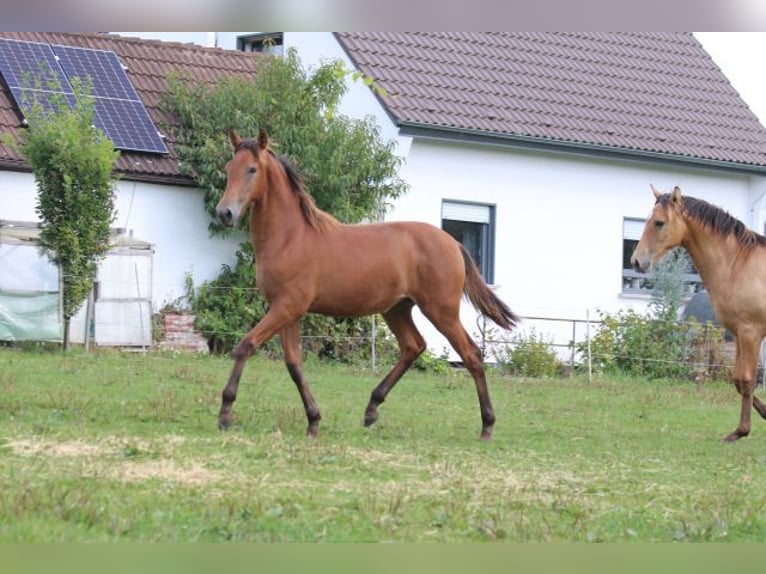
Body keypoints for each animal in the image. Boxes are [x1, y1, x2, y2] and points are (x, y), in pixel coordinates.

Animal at [213, 128, 520, 438]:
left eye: (252, 169)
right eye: (229, 168)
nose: (224, 213)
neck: (291, 237)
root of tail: (453, 243)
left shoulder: (287, 307)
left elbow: (245, 345)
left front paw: (225, 414)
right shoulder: (287, 311)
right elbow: (294, 365)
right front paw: (313, 420)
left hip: (441, 312)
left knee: (471, 355)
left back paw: (487, 426)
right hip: (396, 309)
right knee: (414, 346)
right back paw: (372, 409)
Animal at [632, 187, 766, 444]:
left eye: (659, 222)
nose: (636, 261)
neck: (739, 264)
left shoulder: (751, 333)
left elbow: (747, 381)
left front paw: (740, 431)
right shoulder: (739, 334)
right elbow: (737, 380)